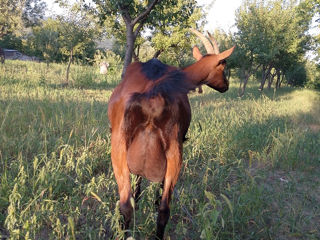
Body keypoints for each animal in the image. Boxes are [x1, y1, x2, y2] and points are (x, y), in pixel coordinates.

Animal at [108, 29, 235, 238]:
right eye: (223, 65)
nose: (226, 86)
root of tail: (152, 95)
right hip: (170, 149)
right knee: (158, 208)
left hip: (124, 146)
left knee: (133, 205)